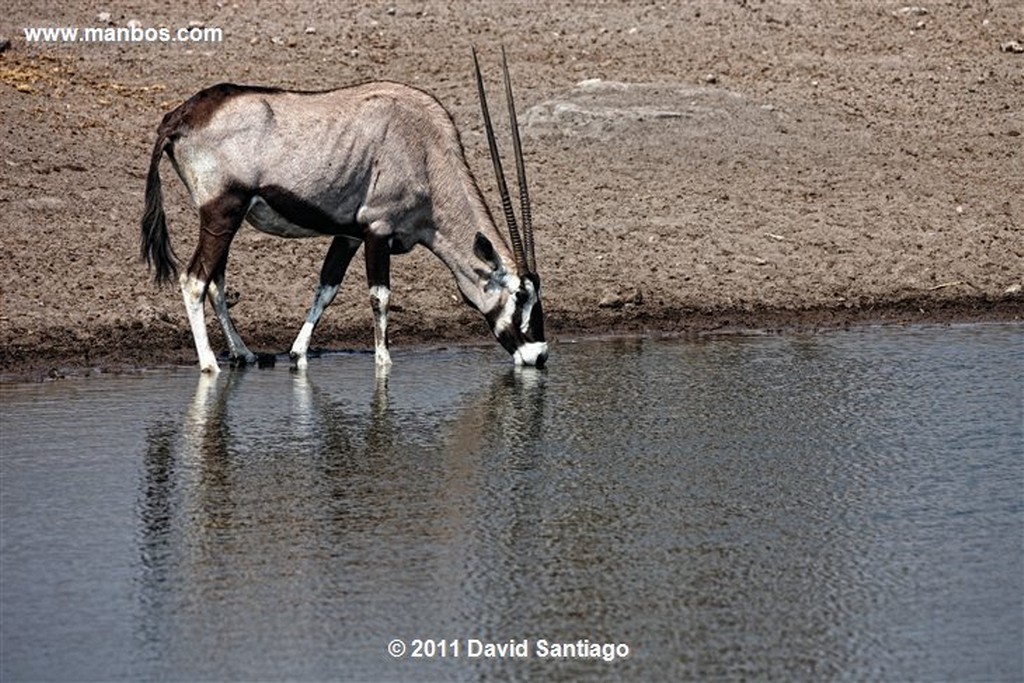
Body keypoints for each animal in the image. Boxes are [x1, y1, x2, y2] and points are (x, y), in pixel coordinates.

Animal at [142, 49, 552, 374]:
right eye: (520, 296)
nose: (539, 355)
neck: (425, 150)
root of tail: (180, 116)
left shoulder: (349, 235)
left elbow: (327, 288)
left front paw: (298, 354)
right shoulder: (378, 230)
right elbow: (380, 296)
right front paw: (384, 362)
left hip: (227, 219)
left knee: (216, 282)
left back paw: (243, 354)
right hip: (221, 213)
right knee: (195, 280)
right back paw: (210, 364)